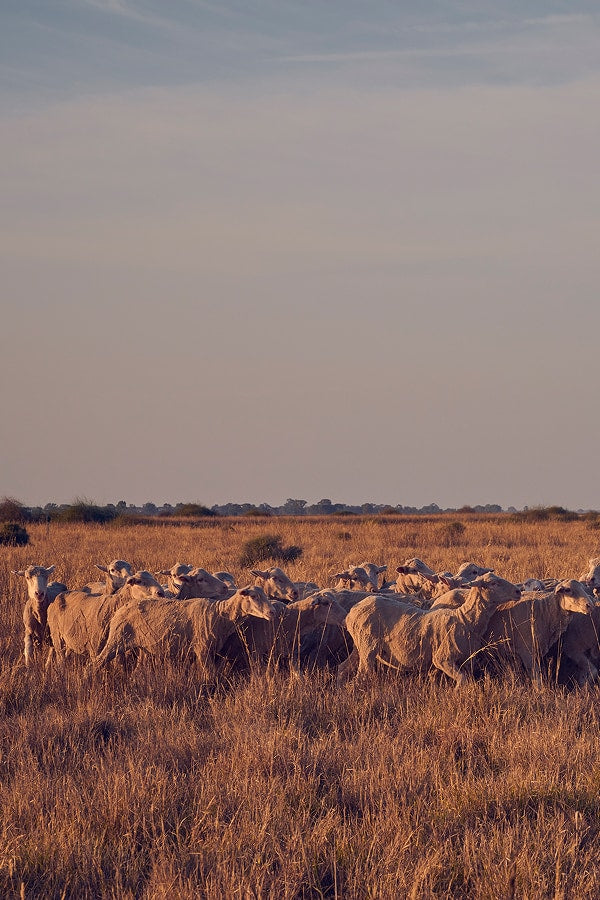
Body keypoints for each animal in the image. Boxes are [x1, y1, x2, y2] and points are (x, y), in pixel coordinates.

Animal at [94, 586, 277, 678]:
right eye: (253, 596)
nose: (272, 612)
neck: (220, 614)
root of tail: (120, 609)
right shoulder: (202, 649)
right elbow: (209, 675)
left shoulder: (212, 652)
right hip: (117, 639)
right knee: (98, 660)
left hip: (143, 647)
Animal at [339, 573, 521, 686]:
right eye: (493, 583)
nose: (518, 591)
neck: (465, 619)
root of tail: (352, 612)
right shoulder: (442, 658)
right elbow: (463, 680)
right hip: (367, 646)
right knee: (362, 675)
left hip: (359, 646)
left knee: (343, 668)